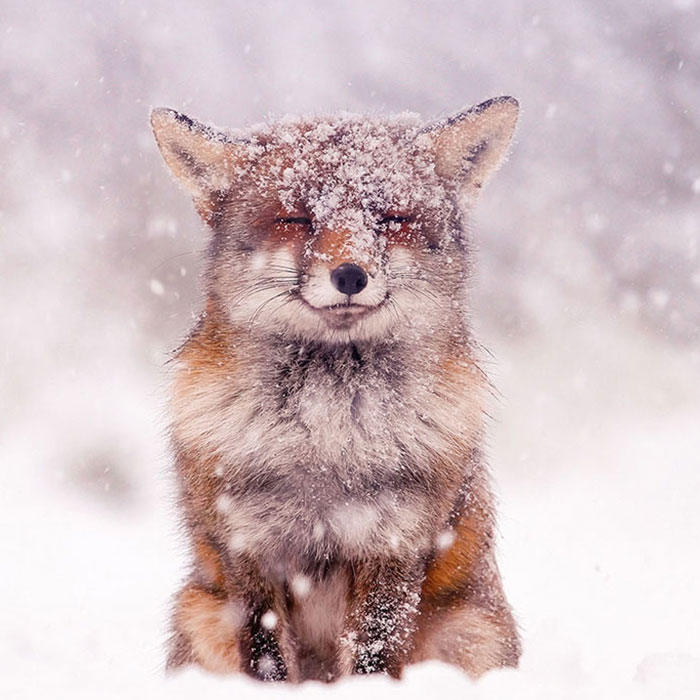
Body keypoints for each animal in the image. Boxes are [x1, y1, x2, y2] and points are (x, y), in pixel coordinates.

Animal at [150, 96, 521, 683]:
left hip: (470, 633)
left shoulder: (395, 542)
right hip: (199, 613)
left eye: (391, 219)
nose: (350, 275)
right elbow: (267, 656)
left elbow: (373, 654)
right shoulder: (248, 546)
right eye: (297, 219)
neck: (326, 438)